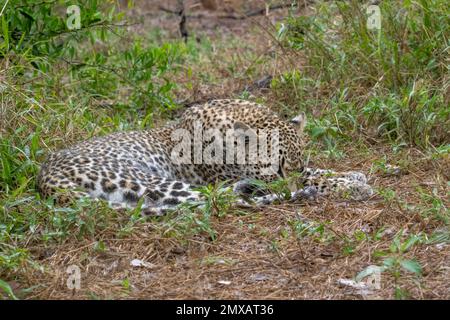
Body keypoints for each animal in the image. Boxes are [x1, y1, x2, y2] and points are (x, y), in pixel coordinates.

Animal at [37, 100, 370, 215]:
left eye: (296, 168)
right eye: (275, 171)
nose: (293, 184)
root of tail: (45, 179)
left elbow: (317, 171)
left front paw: (351, 175)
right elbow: (316, 180)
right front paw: (352, 185)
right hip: (151, 182)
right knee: (221, 199)